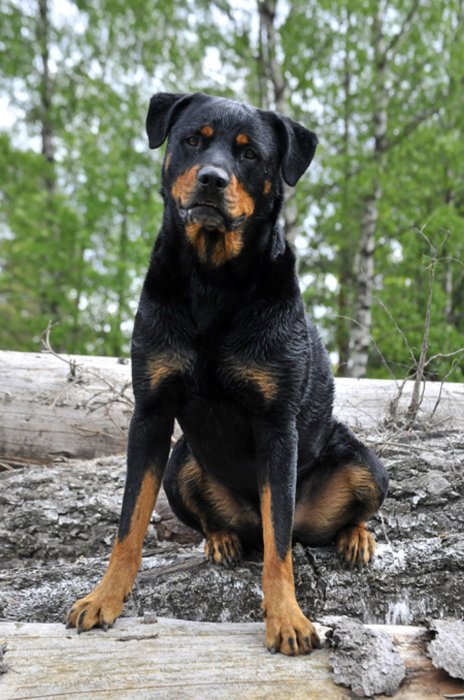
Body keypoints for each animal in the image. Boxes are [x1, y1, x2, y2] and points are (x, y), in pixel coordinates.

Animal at [66, 93, 388, 656]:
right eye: (193, 139)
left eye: (250, 154)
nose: (212, 179)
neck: (212, 279)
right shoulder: (151, 414)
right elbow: (129, 522)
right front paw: (104, 598)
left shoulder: (277, 425)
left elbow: (279, 546)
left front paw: (287, 619)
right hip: (182, 463)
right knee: (223, 521)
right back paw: (222, 538)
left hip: (366, 463)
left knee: (310, 525)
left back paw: (356, 537)